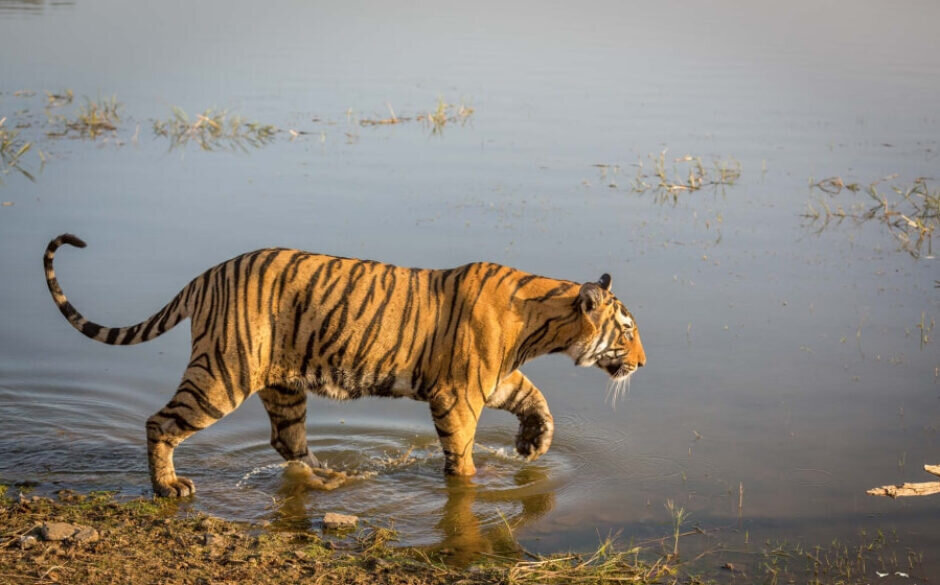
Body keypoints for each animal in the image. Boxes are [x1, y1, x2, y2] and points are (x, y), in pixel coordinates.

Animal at [44, 234, 648, 498]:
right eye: (628, 329)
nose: (643, 363)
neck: (542, 323)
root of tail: (208, 274)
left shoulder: (496, 379)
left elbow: (537, 401)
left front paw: (532, 445)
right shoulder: (458, 395)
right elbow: (462, 452)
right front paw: (475, 482)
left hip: (282, 385)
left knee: (287, 443)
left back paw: (332, 478)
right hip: (222, 373)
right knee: (160, 423)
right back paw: (169, 487)